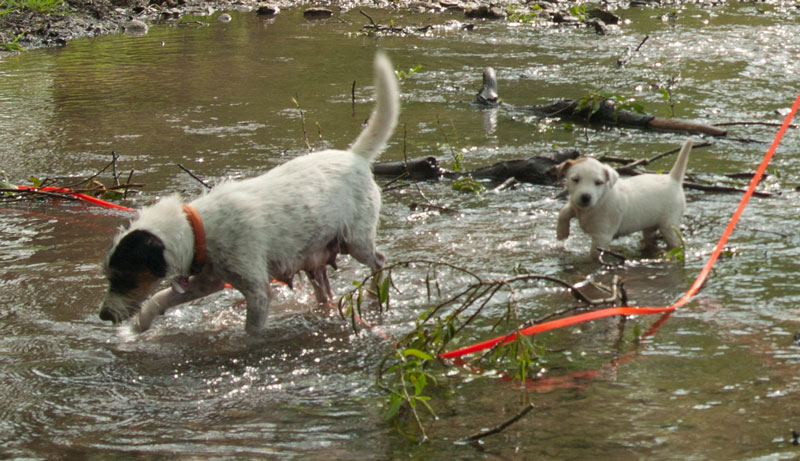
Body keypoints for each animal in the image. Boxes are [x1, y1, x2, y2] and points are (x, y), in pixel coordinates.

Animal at [100, 51, 400, 334]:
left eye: (122, 278)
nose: (103, 315)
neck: (199, 230)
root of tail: (355, 157)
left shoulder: (257, 290)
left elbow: (252, 330)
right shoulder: (207, 282)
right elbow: (161, 297)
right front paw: (140, 324)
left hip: (356, 241)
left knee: (380, 261)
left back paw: (375, 292)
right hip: (316, 259)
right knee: (326, 292)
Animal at [556, 137, 692, 258]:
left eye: (598, 182)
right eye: (575, 179)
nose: (586, 197)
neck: (599, 201)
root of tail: (673, 179)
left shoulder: (602, 237)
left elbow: (594, 254)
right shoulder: (575, 205)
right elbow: (564, 211)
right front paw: (562, 233)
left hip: (669, 224)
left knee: (676, 242)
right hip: (650, 225)